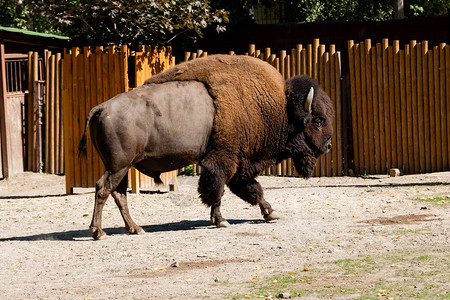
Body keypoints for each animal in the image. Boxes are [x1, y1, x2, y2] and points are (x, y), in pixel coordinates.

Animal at [77, 55, 332, 240]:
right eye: (318, 120)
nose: (328, 145)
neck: (279, 108)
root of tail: (100, 108)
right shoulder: (223, 161)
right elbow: (217, 191)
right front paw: (221, 220)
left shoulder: (240, 166)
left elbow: (252, 190)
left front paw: (270, 213)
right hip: (118, 166)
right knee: (103, 189)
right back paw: (98, 232)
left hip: (122, 167)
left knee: (118, 193)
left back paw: (135, 228)